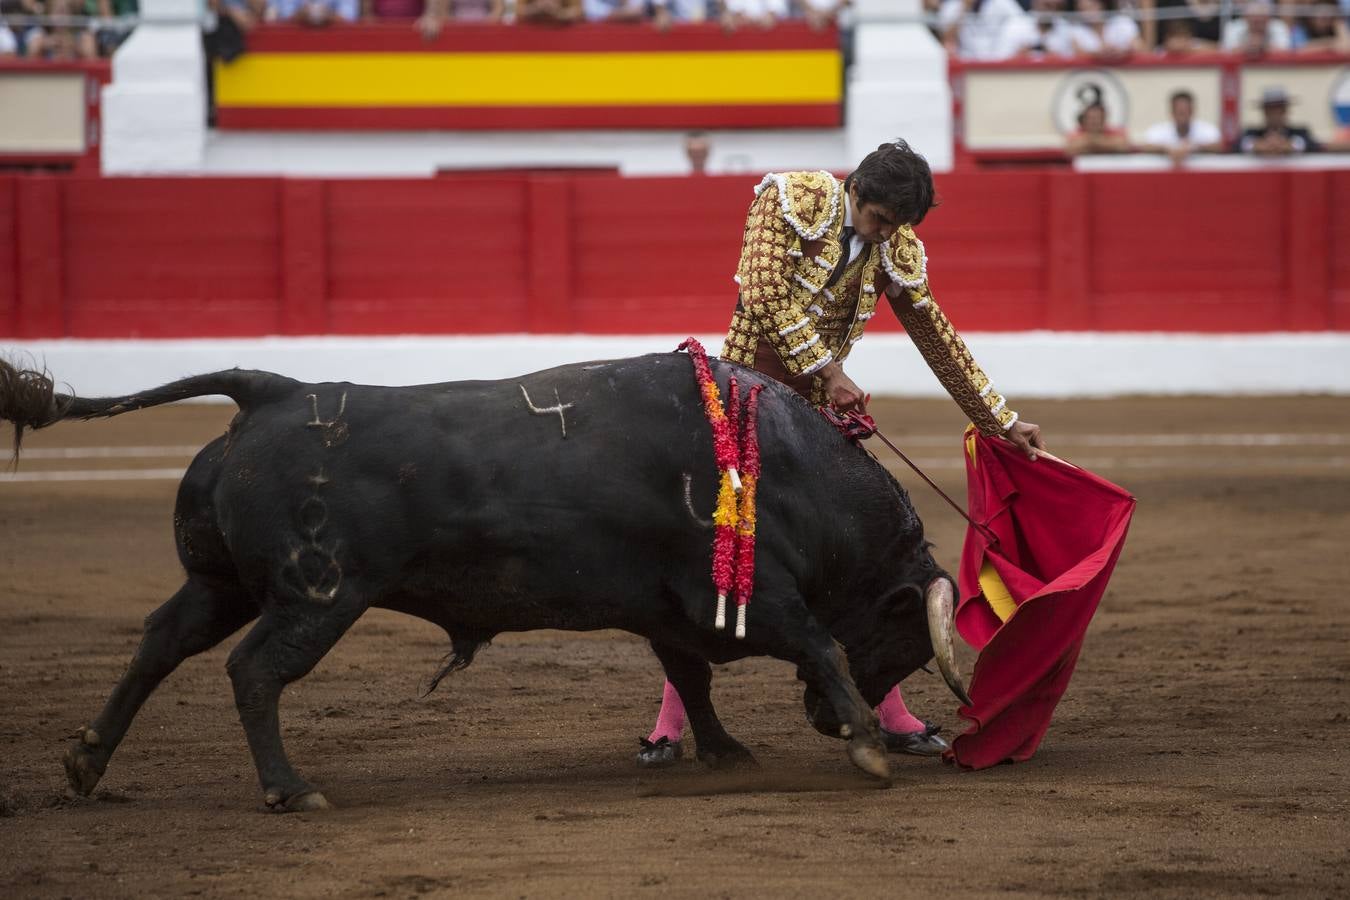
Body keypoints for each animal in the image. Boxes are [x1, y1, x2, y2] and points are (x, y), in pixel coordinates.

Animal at [0, 356, 972, 814]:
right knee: (255, 671)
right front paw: (864, 744)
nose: (821, 719)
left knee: (161, 642)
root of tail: (269, 391)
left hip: (221, 584)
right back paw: (290, 788)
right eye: (905, 638)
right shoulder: (742, 598)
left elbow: (691, 676)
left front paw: (728, 752)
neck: (790, 467)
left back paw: (86, 761)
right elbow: (815, 639)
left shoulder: (668, 609)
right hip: (319, 596)